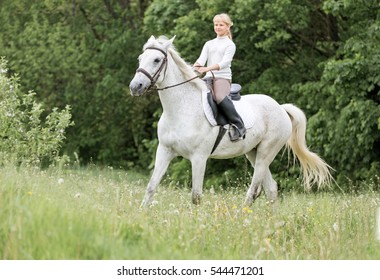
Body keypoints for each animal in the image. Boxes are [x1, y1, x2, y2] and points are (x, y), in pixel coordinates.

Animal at [129, 35, 332, 208]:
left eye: (156, 60)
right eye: (140, 58)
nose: (135, 87)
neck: (180, 109)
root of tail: (280, 108)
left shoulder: (199, 157)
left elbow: (196, 196)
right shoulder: (164, 151)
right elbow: (151, 186)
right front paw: (143, 213)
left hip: (266, 152)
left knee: (254, 190)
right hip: (253, 153)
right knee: (271, 189)